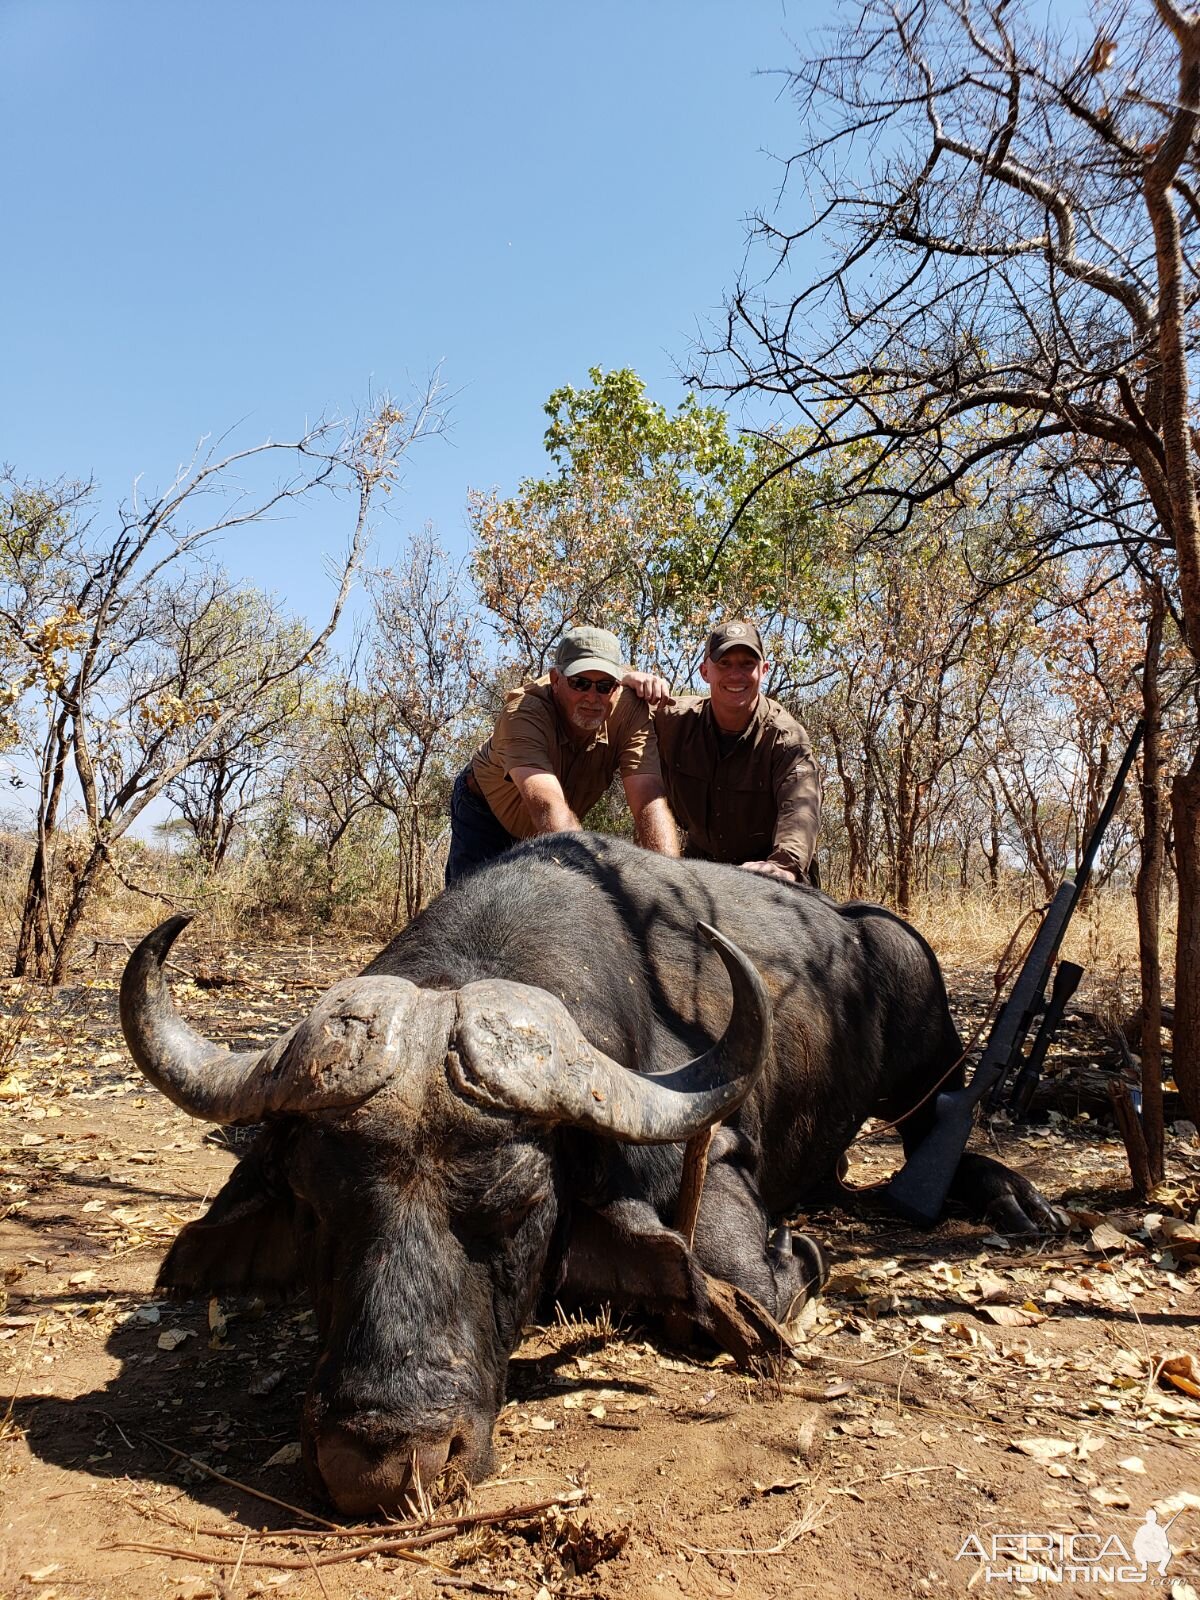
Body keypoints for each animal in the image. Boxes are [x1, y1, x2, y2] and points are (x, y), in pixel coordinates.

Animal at [124, 832, 1062, 1516]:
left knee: (936, 1124)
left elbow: (751, 1277)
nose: (384, 1462)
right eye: (316, 1210)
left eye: (518, 1211)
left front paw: (797, 1257)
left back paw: (1017, 1196)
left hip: (925, 1054)